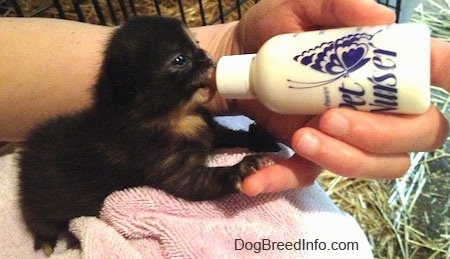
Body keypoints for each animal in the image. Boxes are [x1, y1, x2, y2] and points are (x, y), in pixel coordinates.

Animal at [19, 15, 280, 255]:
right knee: (40, 224)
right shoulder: (169, 169)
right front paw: (244, 167)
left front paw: (258, 139)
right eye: (180, 60)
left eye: (196, 42)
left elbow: (228, 134)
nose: (208, 58)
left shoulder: (209, 129)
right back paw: (47, 243)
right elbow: (204, 181)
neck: (176, 117)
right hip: (41, 208)